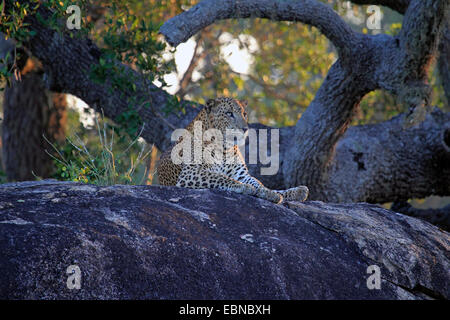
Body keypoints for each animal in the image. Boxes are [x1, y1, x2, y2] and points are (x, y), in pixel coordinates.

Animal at [156, 96, 308, 204]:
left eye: (244, 114)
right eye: (229, 113)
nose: (245, 129)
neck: (224, 149)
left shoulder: (241, 175)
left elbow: (258, 183)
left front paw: (268, 193)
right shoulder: (190, 174)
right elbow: (221, 177)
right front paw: (246, 188)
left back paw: (299, 191)